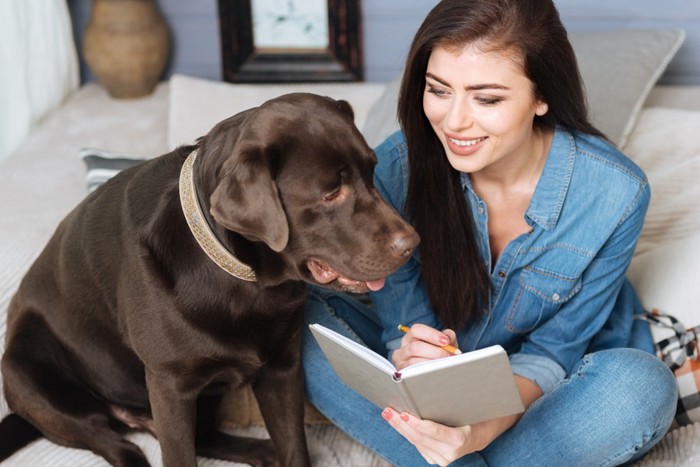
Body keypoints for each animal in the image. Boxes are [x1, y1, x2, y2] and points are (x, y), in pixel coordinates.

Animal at [0, 92, 418, 467]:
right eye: (331, 193)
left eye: (371, 170)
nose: (412, 243)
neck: (245, 281)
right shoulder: (169, 386)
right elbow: (179, 456)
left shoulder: (282, 367)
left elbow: (294, 447)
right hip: (24, 371)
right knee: (114, 442)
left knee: (203, 436)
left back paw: (260, 451)